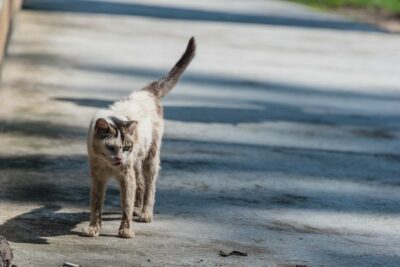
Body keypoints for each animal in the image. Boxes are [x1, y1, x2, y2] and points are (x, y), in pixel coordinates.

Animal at [83, 37, 197, 239]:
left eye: (126, 147)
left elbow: (125, 205)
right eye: (111, 147)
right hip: (136, 161)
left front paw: (126, 230)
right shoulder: (97, 177)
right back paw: (138, 208)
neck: (109, 164)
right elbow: (96, 205)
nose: (120, 159)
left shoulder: (126, 175)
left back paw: (145, 213)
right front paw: (93, 228)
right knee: (141, 184)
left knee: (149, 185)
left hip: (150, 158)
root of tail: (147, 91)